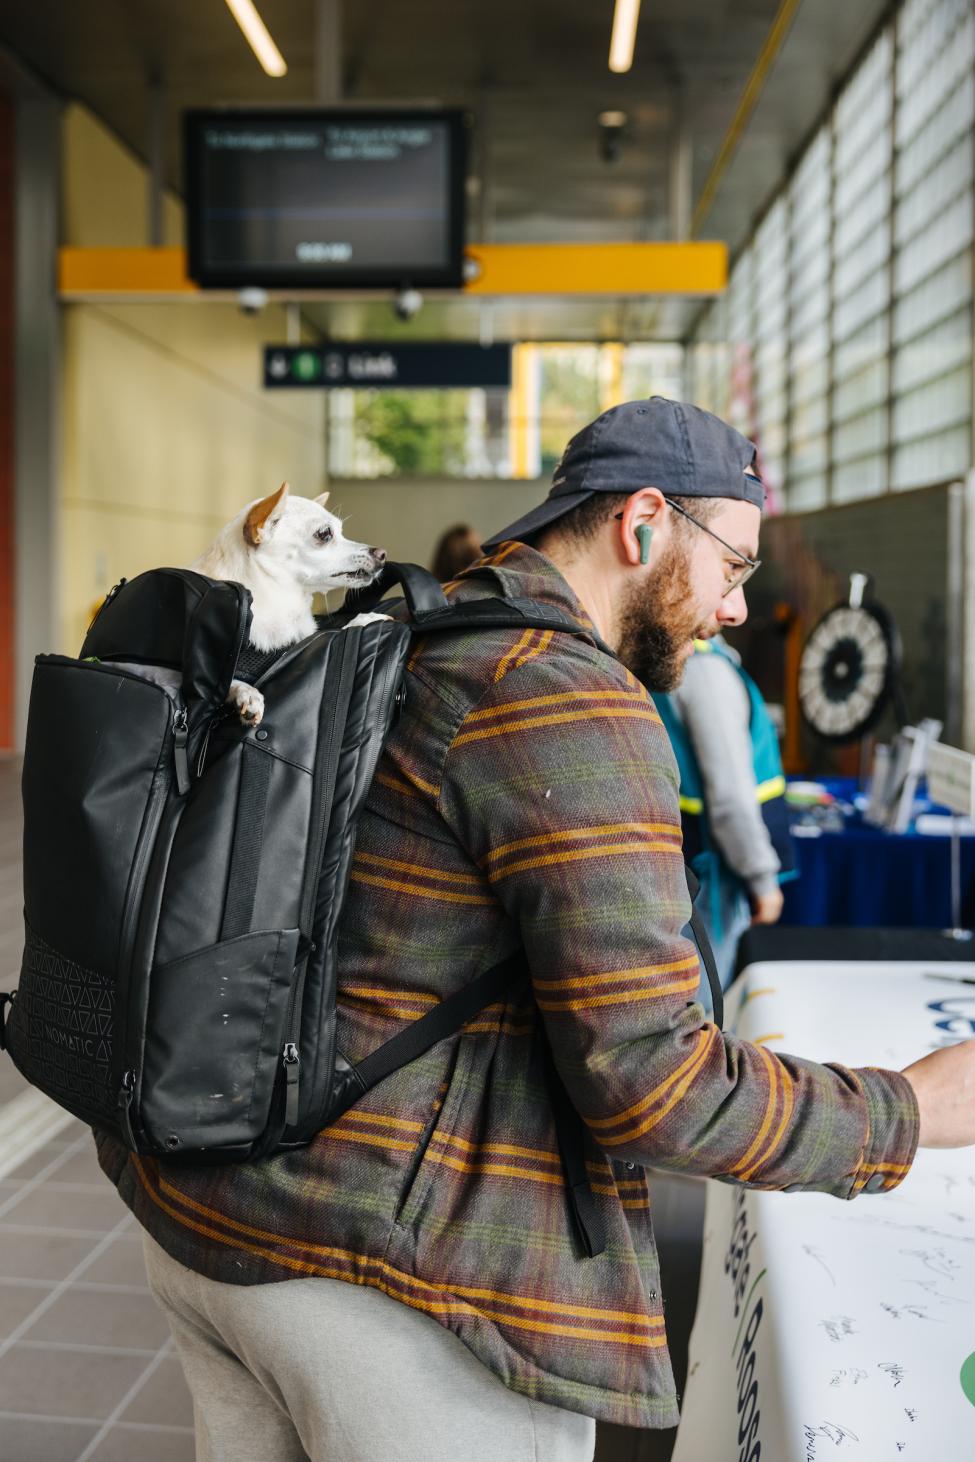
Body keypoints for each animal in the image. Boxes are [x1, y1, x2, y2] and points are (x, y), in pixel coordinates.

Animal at [192, 479, 385, 725]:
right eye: (325, 534)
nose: (382, 554)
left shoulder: (302, 639)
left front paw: (365, 619)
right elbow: (227, 681)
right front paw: (246, 692)